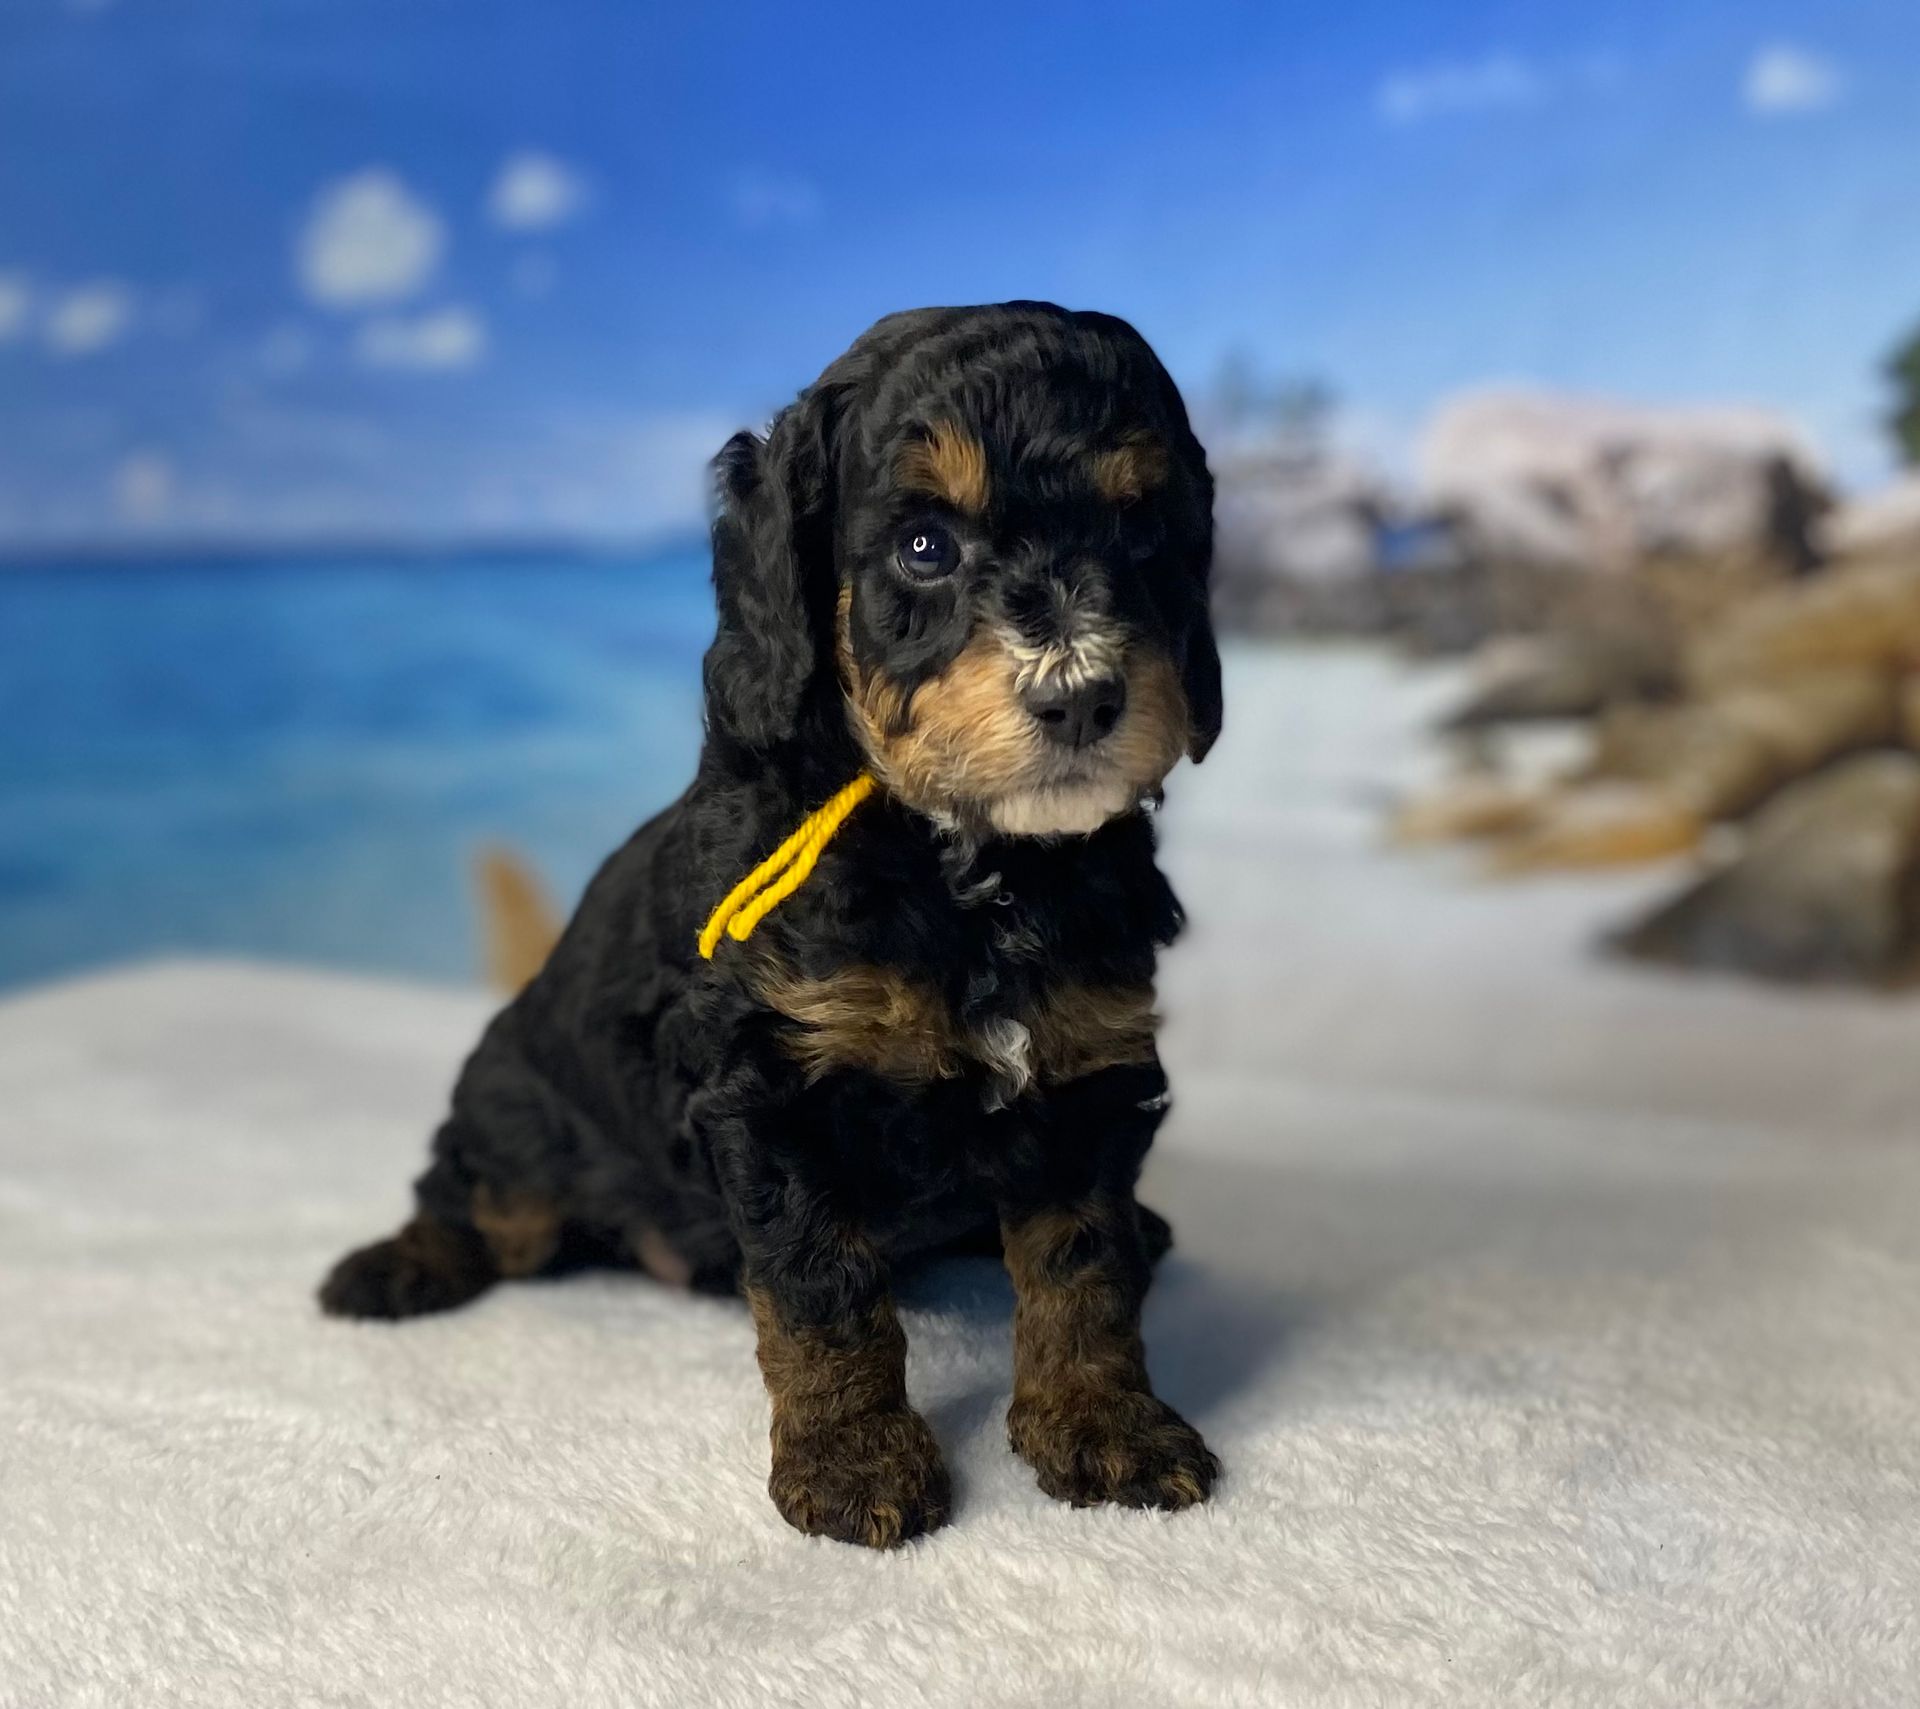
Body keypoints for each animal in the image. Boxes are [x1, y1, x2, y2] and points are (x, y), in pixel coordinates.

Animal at [320, 299, 1221, 1536]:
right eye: (925, 547)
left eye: (1142, 531)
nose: (1081, 696)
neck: (966, 866)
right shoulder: (773, 1084)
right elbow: (821, 1285)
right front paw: (853, 1461)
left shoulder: (1088, 1060)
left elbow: (1081, 1262)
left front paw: (1105, 1423)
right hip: (514, 1099)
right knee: (477, 1194)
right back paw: (394, 1265)